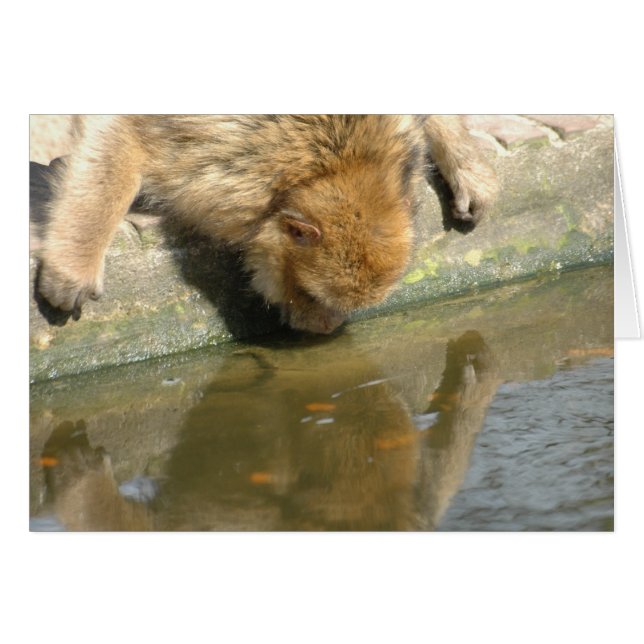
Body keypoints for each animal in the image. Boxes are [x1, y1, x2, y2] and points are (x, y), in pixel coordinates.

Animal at [36, 115, 498, 334]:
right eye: (312, 296)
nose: (329, 327)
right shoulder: (222, 159)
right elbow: (127, 132)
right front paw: (74, 263)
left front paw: (464, 163)